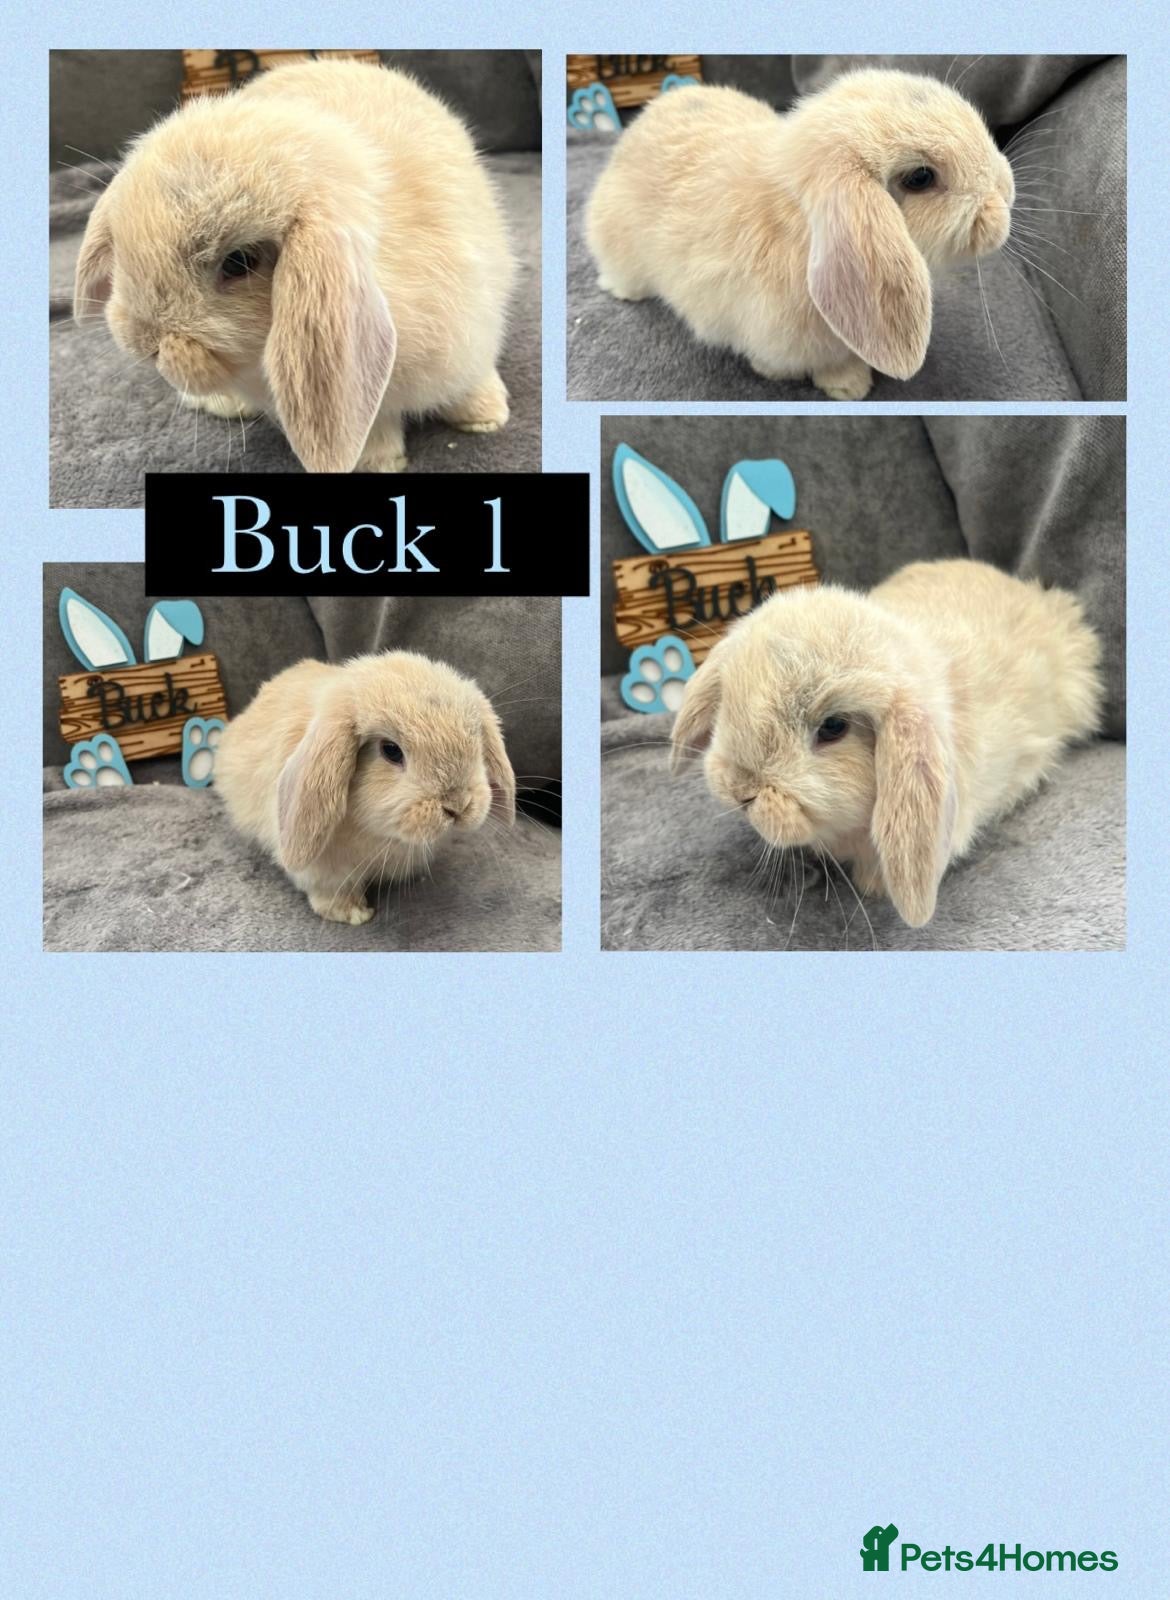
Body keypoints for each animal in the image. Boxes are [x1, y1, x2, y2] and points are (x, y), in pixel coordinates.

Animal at [73, 59, 515, 471]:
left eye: (239, 262)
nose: (142, 343)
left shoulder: (473, 334)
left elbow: (470, 380)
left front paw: (486, 417)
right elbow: (371, 429)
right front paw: (377, 464)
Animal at [215, 651, 516, 924]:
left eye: (475, 738)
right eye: (391, 751)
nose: (457, 805)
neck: (378, 835)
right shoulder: (324, 872)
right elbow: (330, 893)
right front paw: (353, 914)